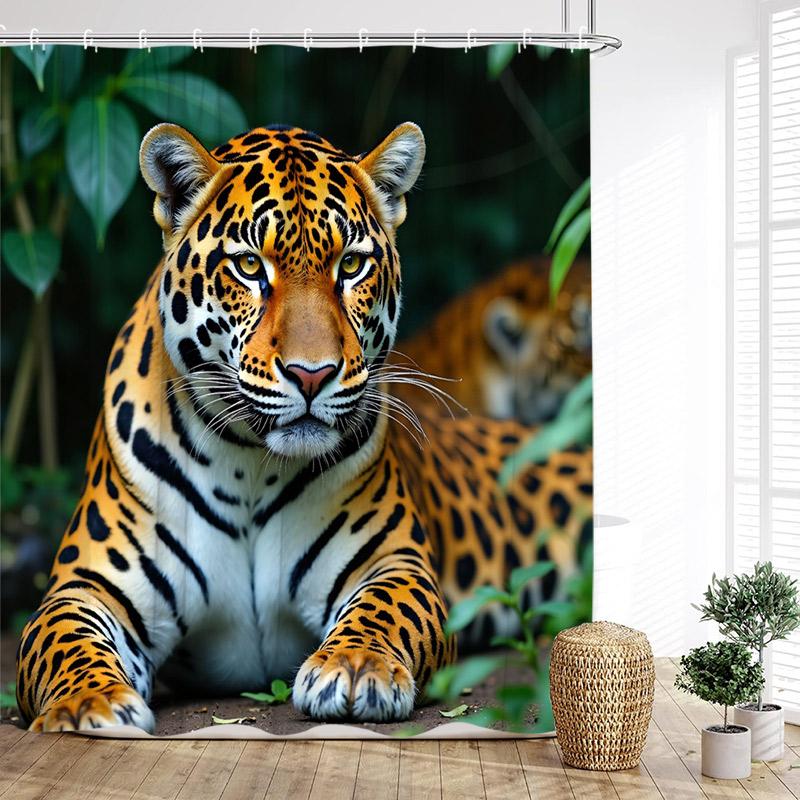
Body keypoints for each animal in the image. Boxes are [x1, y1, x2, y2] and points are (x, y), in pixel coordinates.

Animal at [16, 121, 592, 732]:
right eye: (249, 267)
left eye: (351, 265)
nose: (311, 374)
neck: (246, 462)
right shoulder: (85, 588)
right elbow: (65, 642)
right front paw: (87, 705)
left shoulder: (394, 563)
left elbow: (383, 610)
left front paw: (356, 667)